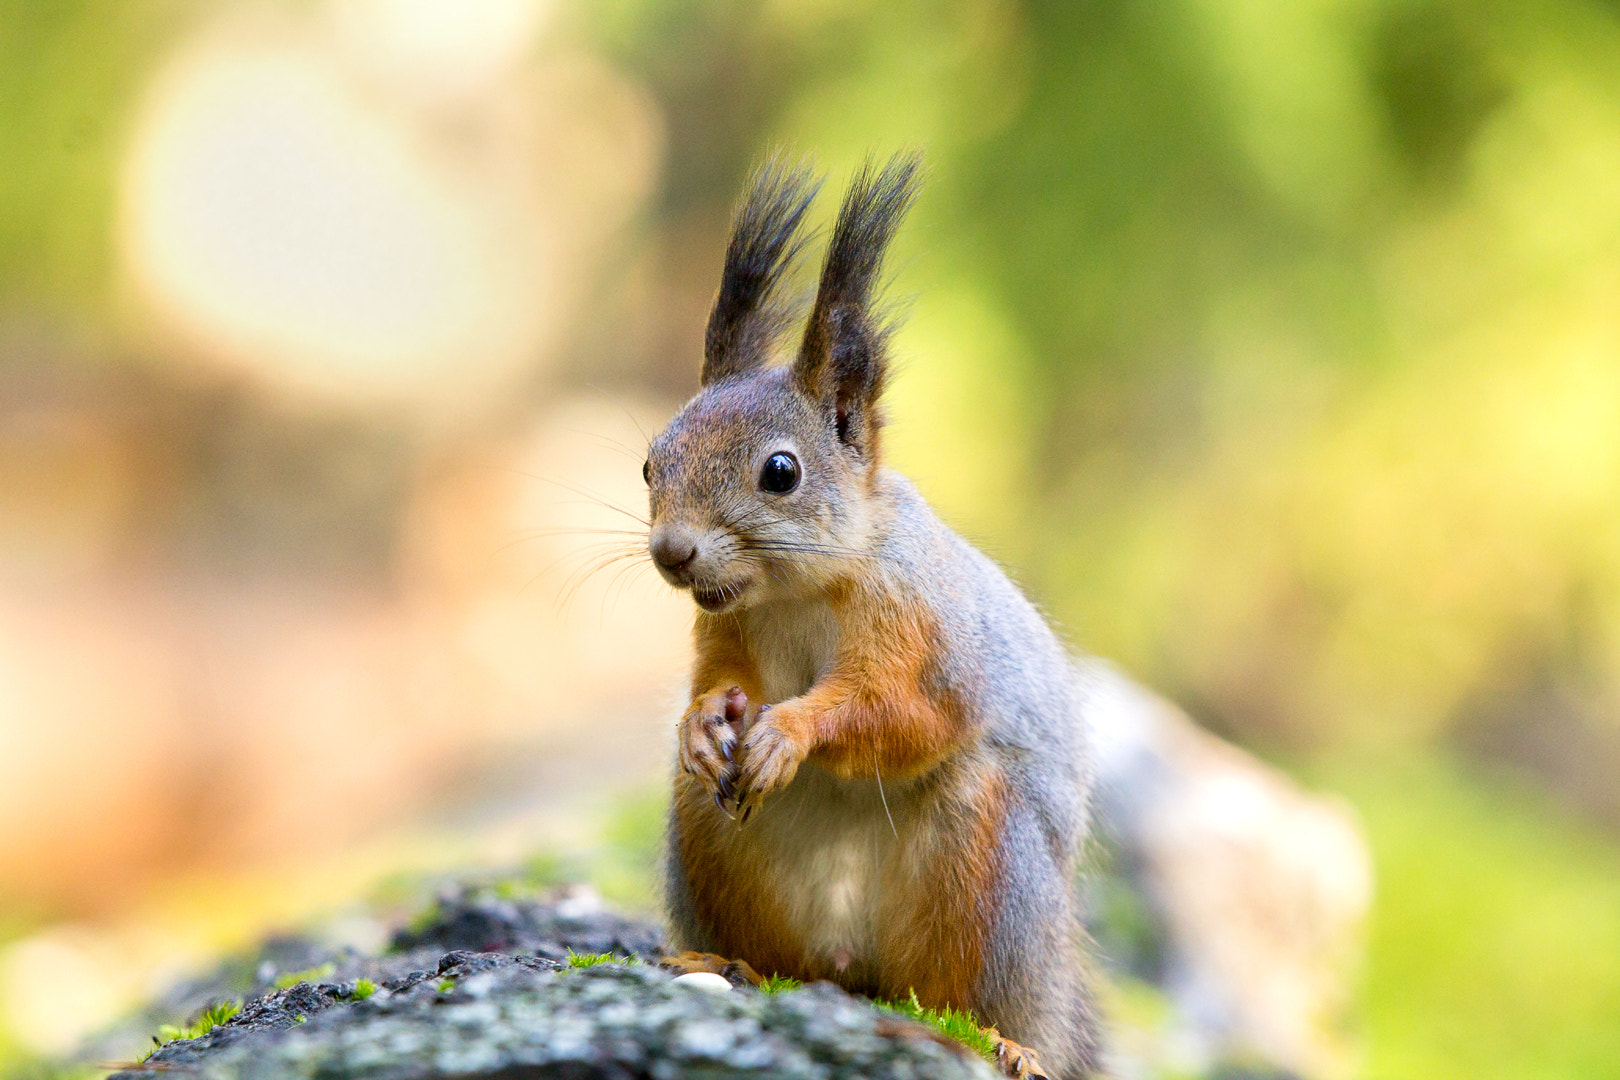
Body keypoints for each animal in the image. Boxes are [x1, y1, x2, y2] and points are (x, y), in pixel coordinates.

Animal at [644, 154, 1101, 1079]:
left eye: (780, 472)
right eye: (649, 462)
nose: (671, 552)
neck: (795, 592)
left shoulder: (920, 627)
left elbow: (906, 715)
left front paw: (791, 730)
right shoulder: (724, 629)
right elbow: (720, 682)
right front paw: (706, 720)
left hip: (986, 868)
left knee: (960, 989)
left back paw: (996, 1037)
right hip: (711, 840)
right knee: (774, 949)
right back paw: (722, 960)